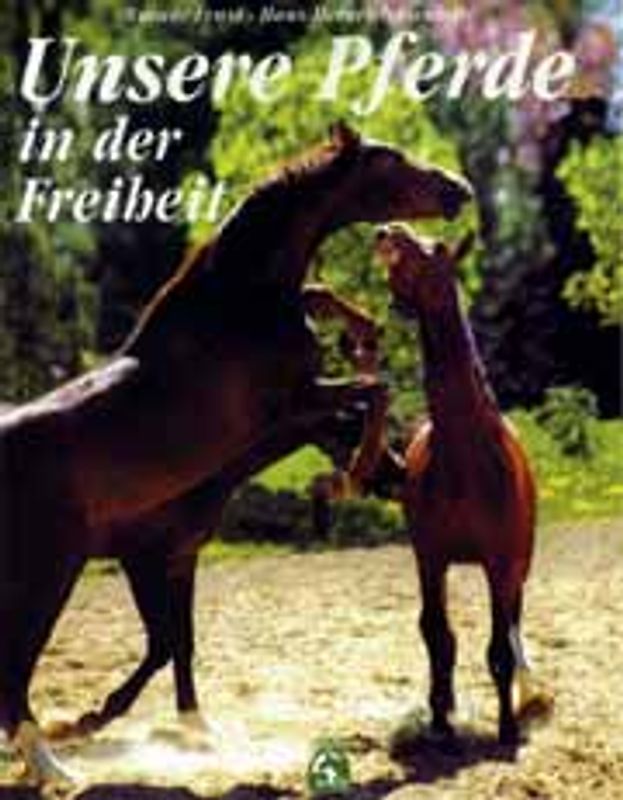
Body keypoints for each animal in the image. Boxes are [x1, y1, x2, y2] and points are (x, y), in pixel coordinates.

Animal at [0, 122, 472, 784]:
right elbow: (373, 390)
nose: (460, 189)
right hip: (50, 572)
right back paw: (54, 766)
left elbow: (179, 643)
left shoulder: (173, 556)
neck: (239, 302)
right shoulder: (293, 401)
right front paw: (349, 476)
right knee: (14, 669)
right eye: (391, 162)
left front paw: (197, 729)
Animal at [374, 226, 548, 744]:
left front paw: (508, 727)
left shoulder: (501, 561)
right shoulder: (430, 557)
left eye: (439, 250)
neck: (466, 454)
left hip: (518, 565)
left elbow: (500, 647)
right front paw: (440, 721)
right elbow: (437, 635)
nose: (387, 231)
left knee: (513, 624)